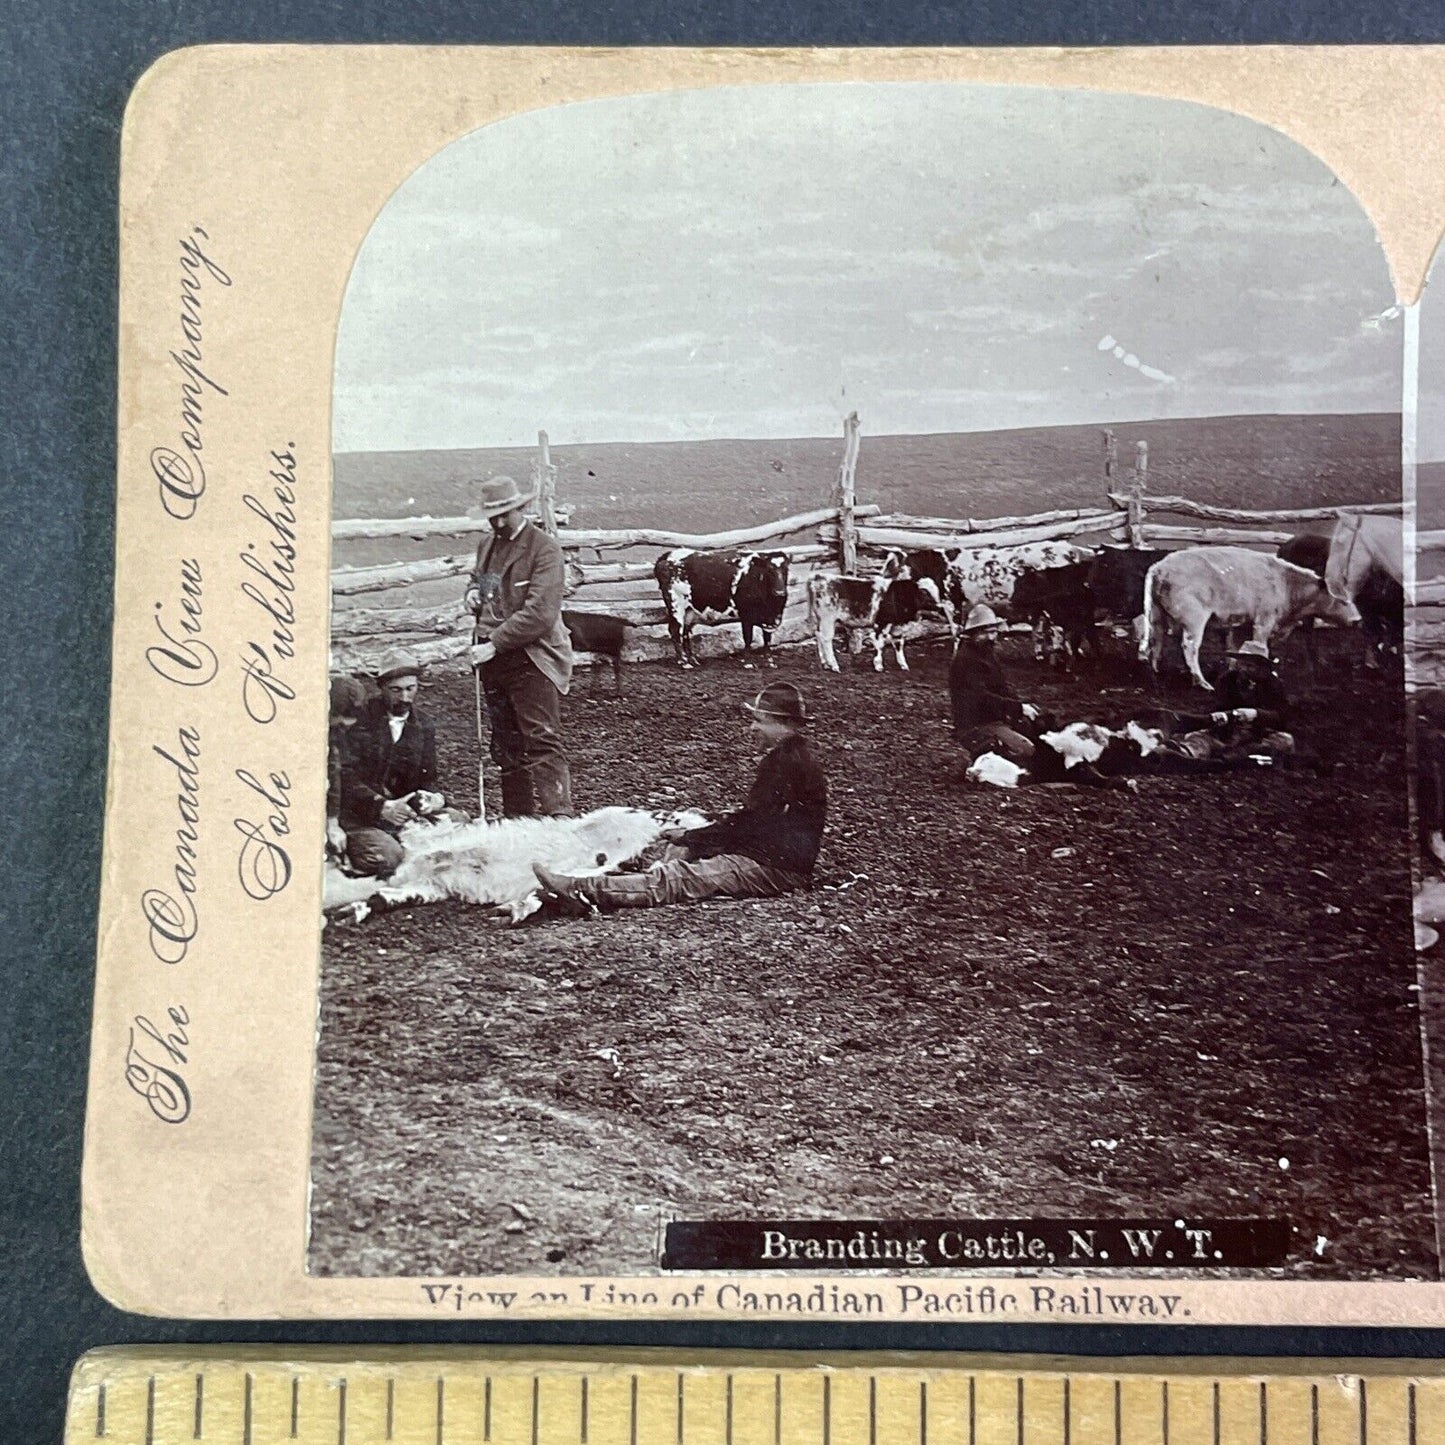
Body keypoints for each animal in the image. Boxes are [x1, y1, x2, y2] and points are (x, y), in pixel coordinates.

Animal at [656, 546, 791, 670]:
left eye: (786, 570)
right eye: (769, 570)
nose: (780, 592)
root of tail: (669, 555)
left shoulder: (768, 619)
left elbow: (767, 640)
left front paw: (770, 662)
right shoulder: (746, 615)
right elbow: (748, 638)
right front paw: (748, 663)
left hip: (689, 610)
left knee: (685, 632)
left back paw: (693, 660)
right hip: (676, 605)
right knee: (675, 631)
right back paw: (684, 663)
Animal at [1138, 546, 1352, 693]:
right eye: (1342, 600)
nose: (1356, 619)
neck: (1286, 583)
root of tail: (1159, 568)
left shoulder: (1242, 624)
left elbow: (1235, 649)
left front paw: (1233, 672)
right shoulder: (1263, 621)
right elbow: (1259, 648)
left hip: (1156, 614)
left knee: (1157, 639)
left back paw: (1156, 670)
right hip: (1194, 621)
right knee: (1189, 647)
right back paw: (1202, 682)